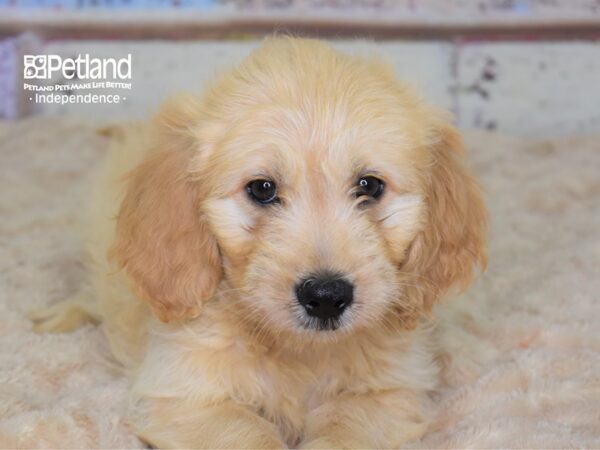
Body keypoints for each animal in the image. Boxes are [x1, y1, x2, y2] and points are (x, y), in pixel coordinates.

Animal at [35, 37, 488, 446]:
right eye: (262, 189)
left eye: (369, 186)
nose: (326, 296)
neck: (296, 351)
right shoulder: (185, 395)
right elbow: (248, 434)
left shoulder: (389, 394)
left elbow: (346, 428)